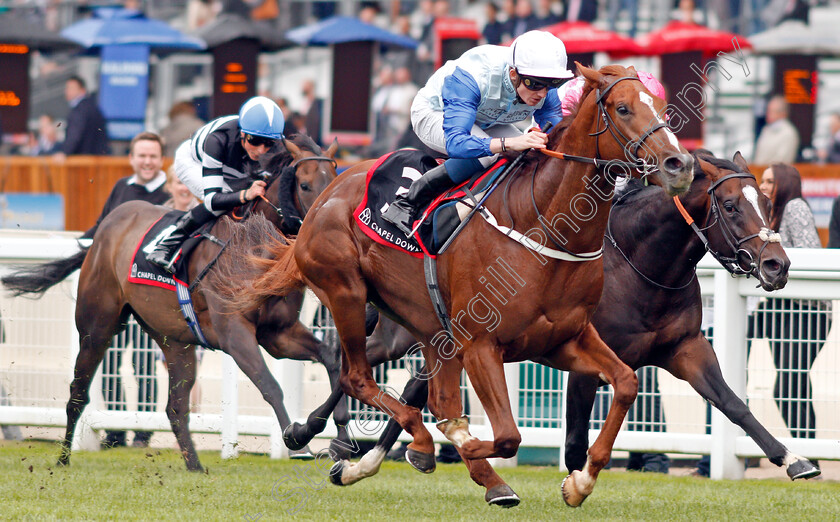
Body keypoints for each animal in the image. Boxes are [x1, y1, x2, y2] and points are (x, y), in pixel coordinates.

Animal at [223, 64, 696, 504]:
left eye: (661, 106)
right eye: (623, 108)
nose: (679, 164)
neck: (546, 227)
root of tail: (329, 192)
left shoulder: (565, 339)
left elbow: (627, 383)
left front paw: (579, 481)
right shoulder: (481, 345)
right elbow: (506, 435)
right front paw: (458, 447)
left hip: (426, 322)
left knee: (427, 394)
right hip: (346, 292)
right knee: (358, 377)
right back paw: (405, 445)